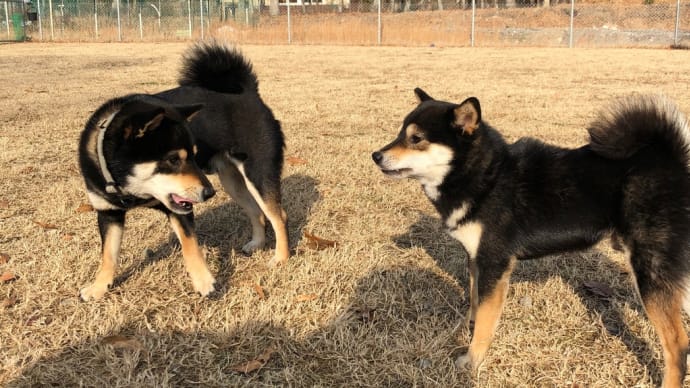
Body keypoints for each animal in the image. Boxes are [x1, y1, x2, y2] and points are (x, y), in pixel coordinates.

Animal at [79, 44, 286, 302]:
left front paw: (204, 283)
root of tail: (248, 92)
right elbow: (108, 254)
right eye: (173, 160)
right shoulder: (109, 214)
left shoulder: (181, 209)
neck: (130, 191)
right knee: (256, 212)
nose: (208, 193)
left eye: (194, 155)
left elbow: (190, 247)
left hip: (258, 173)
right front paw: (99, 287)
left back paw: (281, 258)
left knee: (278, 216)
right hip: (232, 181)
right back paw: (257, 243)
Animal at [374, 89, 688, 386]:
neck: (486, 176)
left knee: (677, 344)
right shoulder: (476, 259)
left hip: (650, 271)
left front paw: (472, 360)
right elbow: (475, 302)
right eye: (400, 133)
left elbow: (486, 320)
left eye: (416, 138)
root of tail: (672, 161)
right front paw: (465, 328)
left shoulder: (494, 261)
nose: (375, 155)